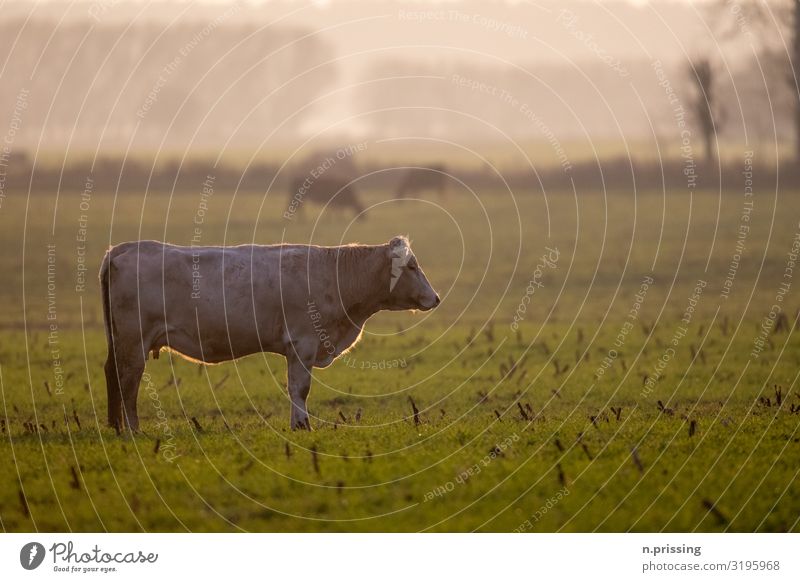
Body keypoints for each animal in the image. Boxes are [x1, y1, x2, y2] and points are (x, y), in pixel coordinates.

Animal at [101, 237, 440, 434]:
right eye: (412, 266)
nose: (435, 298)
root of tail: (124, 247)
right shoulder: (303, 342)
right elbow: (300, 388)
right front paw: (303, 425)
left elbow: (294, 388)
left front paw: (296, 424)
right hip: (133, 341)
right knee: (128, 380)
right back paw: (134, 430)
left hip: (120, 341)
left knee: (112, 373)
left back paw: (116, 426)